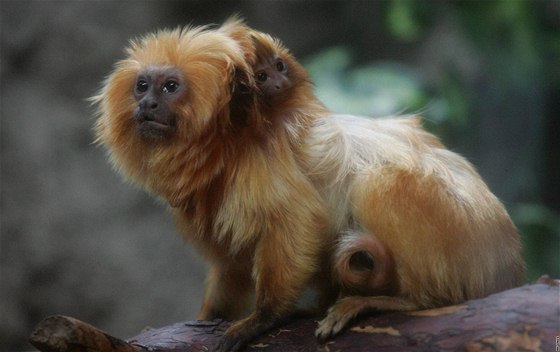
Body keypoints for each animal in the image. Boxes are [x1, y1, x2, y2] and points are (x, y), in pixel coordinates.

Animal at [94, 18, 528, 352]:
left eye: (170, 87)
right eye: (142, 85)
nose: (147, 105)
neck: (228, 144)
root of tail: (509, 267)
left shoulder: (266, 170)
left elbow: (297, 223)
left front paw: (264, 316)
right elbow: (230, 266)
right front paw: (212, 315)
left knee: (380, 184)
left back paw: (400, 300)